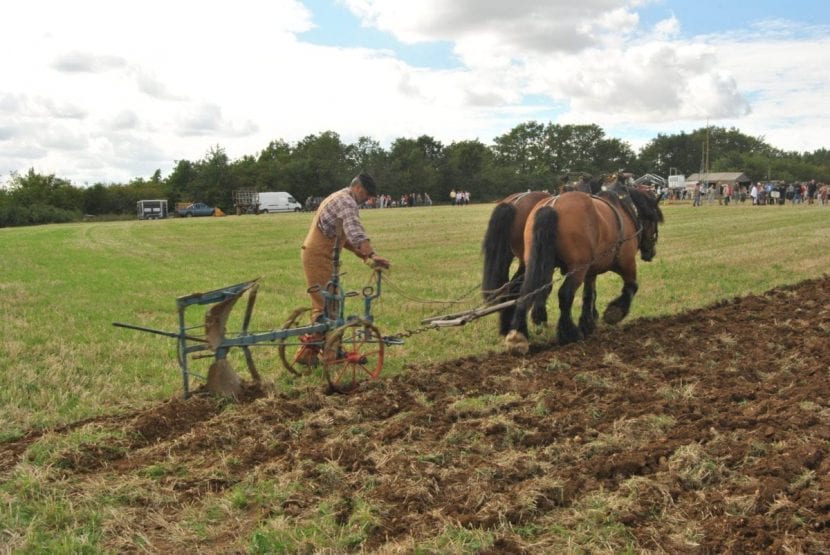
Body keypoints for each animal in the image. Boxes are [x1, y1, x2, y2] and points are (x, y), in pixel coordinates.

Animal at [504, 176, 668, 354]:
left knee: (525, 292)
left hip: (536, 264)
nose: (651, 252)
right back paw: (569, 333)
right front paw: (614, 312)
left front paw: (587, 323)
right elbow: (632, 286)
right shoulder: (626, 262)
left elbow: (589, 294)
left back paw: (518, 335)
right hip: (578, 269)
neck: (627, 210)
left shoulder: (591, 270)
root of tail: (552, 205)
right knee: (565, 294)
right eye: (653, 219)